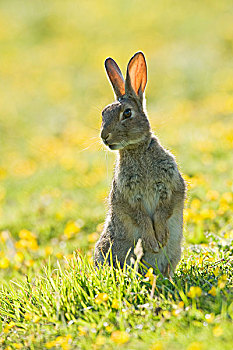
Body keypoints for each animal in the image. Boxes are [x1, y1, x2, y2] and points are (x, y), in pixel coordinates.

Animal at [93, 52, 187, 276]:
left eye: (127, 113)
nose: (104, 137)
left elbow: (163, 211)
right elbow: (141, 218)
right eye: (103, 114)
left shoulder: (170, 187)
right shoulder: (129, 197)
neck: (136, 150)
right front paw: (152, 242)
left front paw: (160, 238)